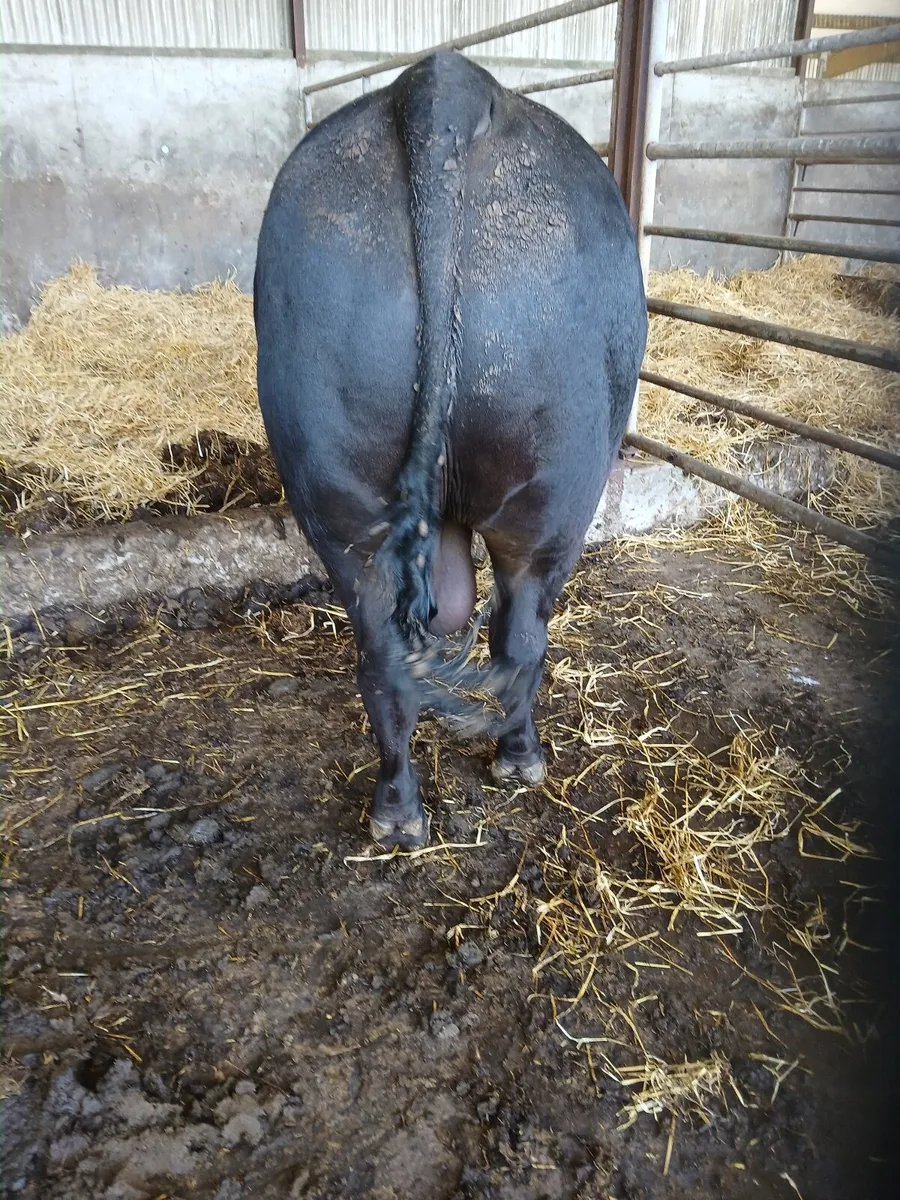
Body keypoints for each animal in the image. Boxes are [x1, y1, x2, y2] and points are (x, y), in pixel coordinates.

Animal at [254, 50, 647, 849]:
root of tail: (442, 88)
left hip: (338, 488)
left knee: (381, 657)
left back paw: (397, 812)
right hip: (553, 499)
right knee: (520, 636)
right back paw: (519, 759)